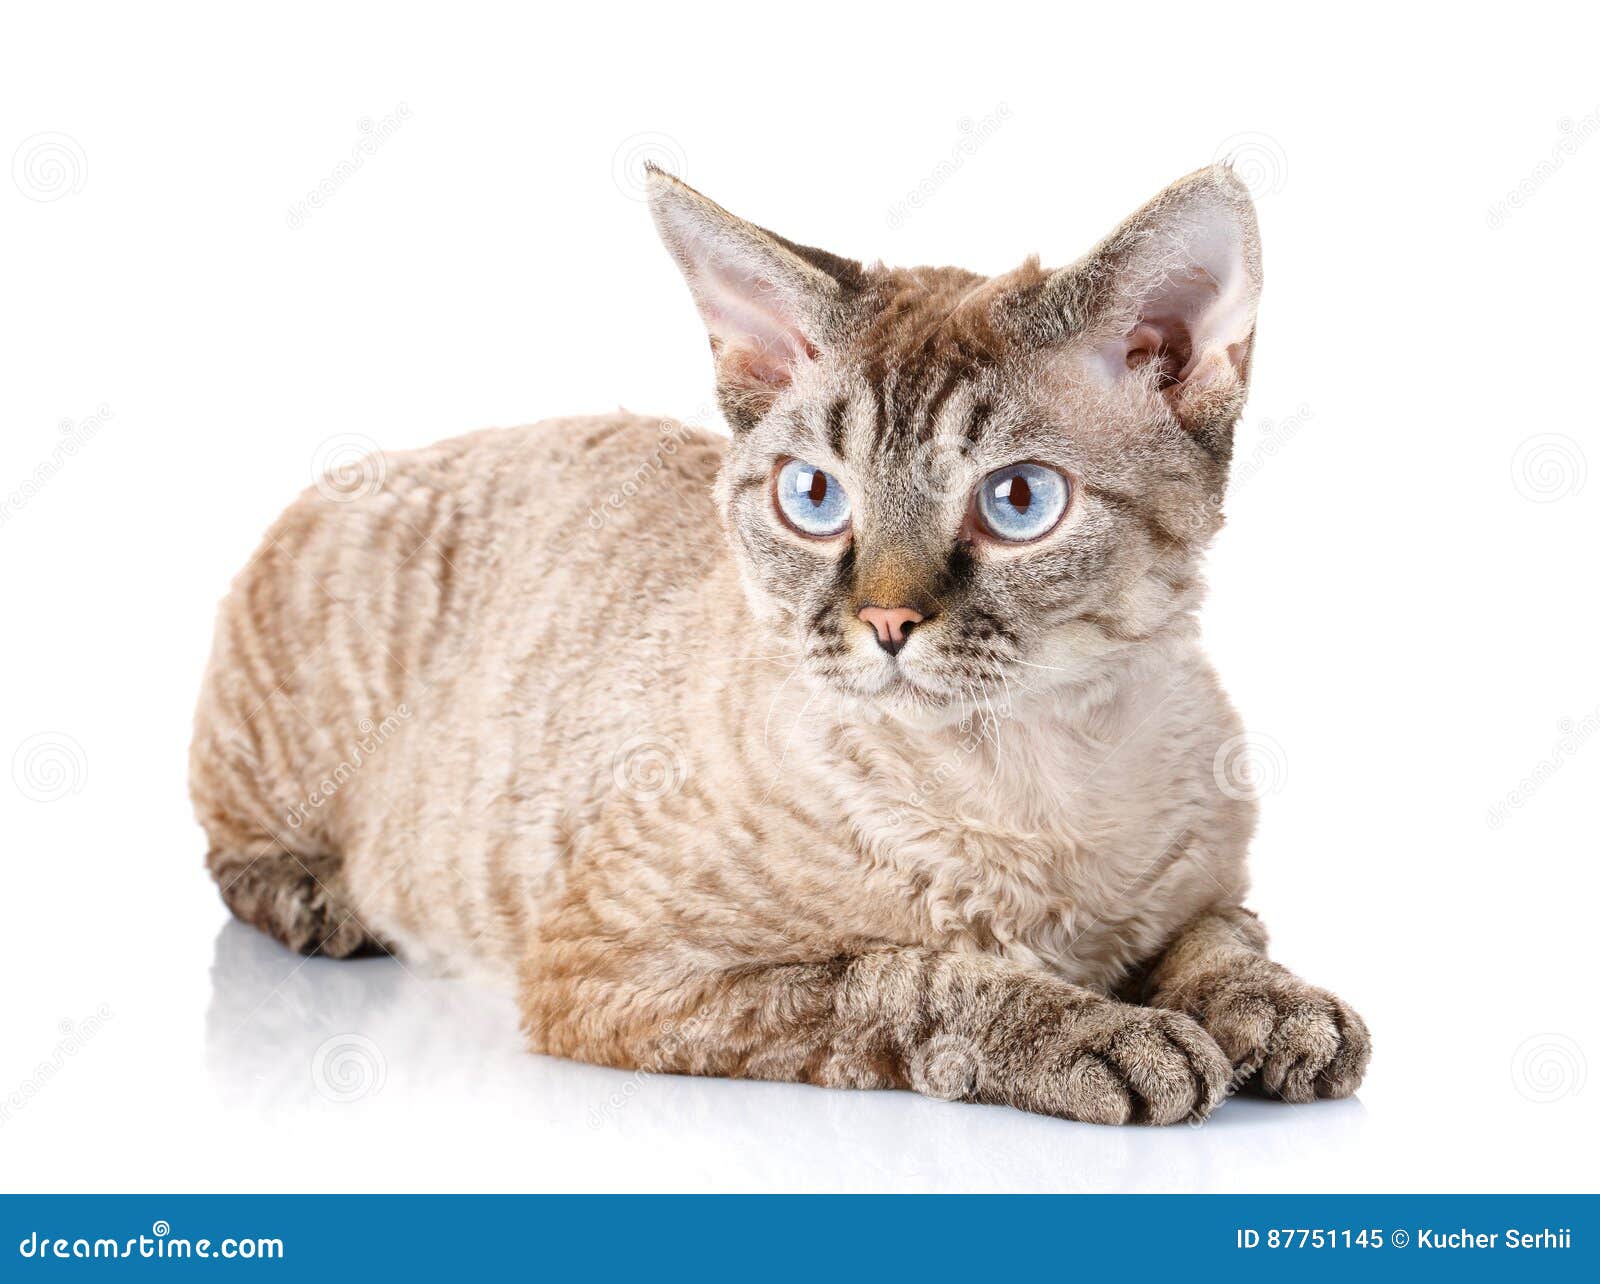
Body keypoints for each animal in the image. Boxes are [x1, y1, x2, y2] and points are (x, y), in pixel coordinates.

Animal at [184, 162, 1363, 1120]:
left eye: (1019, 500)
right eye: (813, 497)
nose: (885, 623)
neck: (1033, 780)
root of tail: (368, 462)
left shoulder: (1210, 888)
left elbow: (1224, 938)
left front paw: (1275, 1009)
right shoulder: (615, 969)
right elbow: (913, 976)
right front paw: (1103, 1033)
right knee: (232, 860)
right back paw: (322, 900)